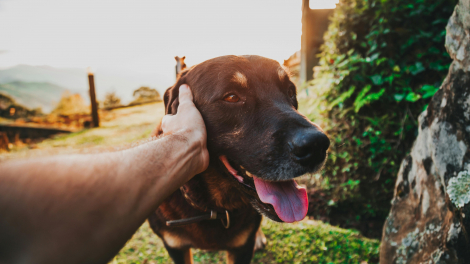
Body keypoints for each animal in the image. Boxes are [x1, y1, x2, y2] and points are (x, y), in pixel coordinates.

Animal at [149, 55, 328, 264]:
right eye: (232, 97)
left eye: (290, 92)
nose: (317, 146)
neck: (213, 209)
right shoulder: (175, 247)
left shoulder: (242, 247)